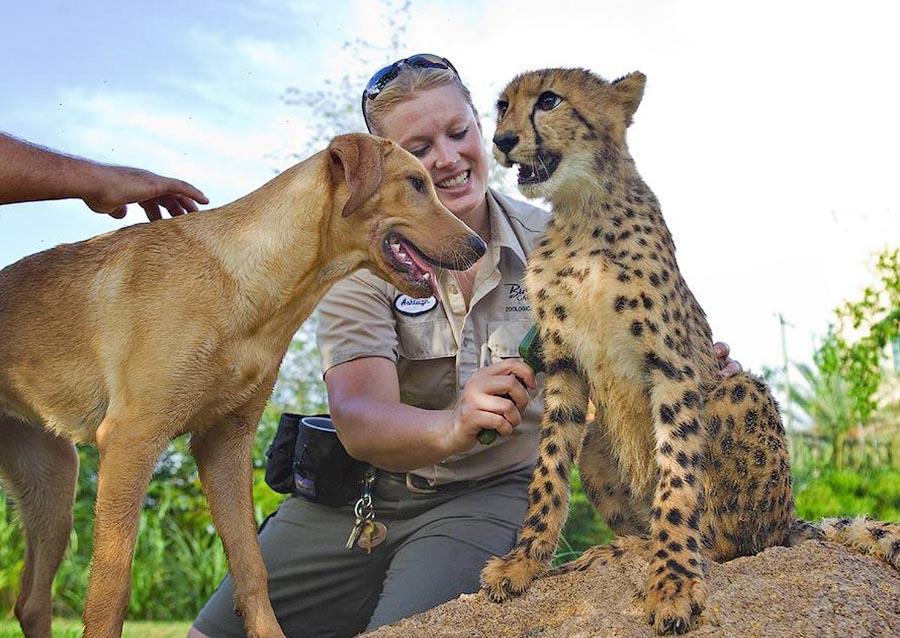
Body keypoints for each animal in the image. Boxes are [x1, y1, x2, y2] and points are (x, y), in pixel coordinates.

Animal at [0, 132, 486, 636]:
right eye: (416, 183)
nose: (480, 246)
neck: (251, 284)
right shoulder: (131, 442)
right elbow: (110, 591)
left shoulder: (223, 444)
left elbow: (252, 567)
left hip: (53, 481)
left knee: (30, 601)